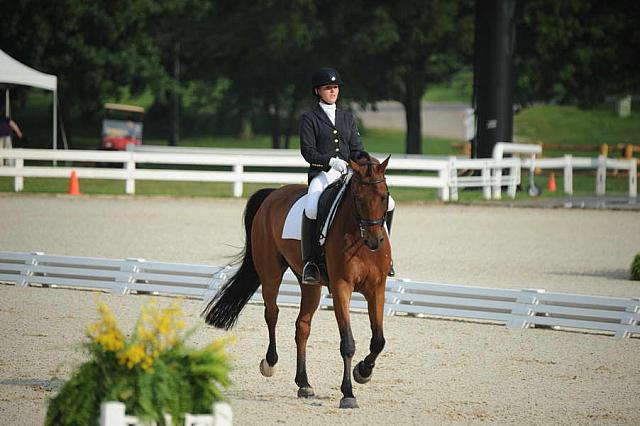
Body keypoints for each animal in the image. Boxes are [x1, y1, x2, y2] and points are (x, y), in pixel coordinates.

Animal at [202, 151, 392, 408]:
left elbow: (378, 340)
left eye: (384, 197)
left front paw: (363, 372)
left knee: (302, 325)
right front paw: (348, 394)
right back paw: (270, 363)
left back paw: (304, 383)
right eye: (358, 198)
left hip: (309, 284)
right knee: (272, 313)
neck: (357, 238)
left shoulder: (377, 288)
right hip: (270, 273)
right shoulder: (341, 288)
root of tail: (274, 193)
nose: (374, 242)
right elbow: (347, 343)